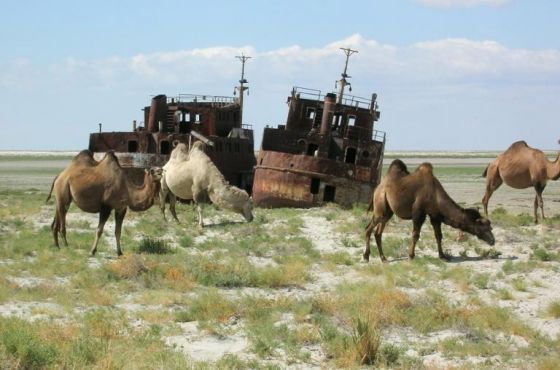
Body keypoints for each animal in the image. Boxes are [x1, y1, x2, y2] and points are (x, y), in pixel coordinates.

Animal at [364, 159, 494, 264]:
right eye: (484, 228)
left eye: (490, 227)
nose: (493, 241)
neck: (435, 194)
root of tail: (377, 188)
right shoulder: (419, 213)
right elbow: (415, 235)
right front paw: (411, 256)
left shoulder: (435, 215)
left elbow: (438, 235)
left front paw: (443, 256)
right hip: (380, 206)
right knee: (368, 228)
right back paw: (366, 257)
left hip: (388, 212)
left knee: (378, 233)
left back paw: (383, 259)